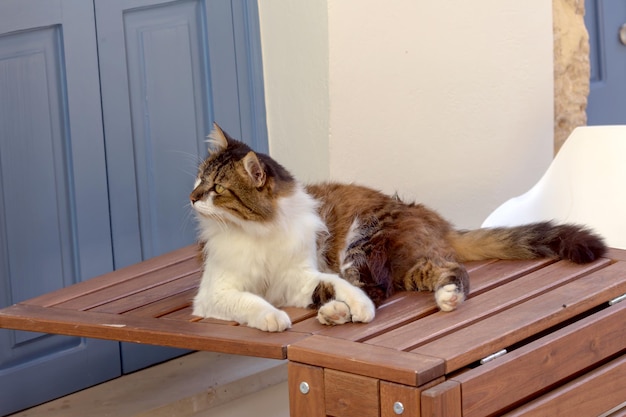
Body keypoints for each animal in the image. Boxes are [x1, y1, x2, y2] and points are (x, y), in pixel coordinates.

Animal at [190, 123, 604, 332]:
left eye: (217, 189)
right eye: (198, 179)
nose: (192, 197)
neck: (256, 232)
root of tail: (435, 218)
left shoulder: (299, 272)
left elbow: (339, 289)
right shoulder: (221, 289)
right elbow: (253, 301)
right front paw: (276, 316)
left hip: (361, 242)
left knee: (388, 284)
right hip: (407, 266)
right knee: (437, 272)